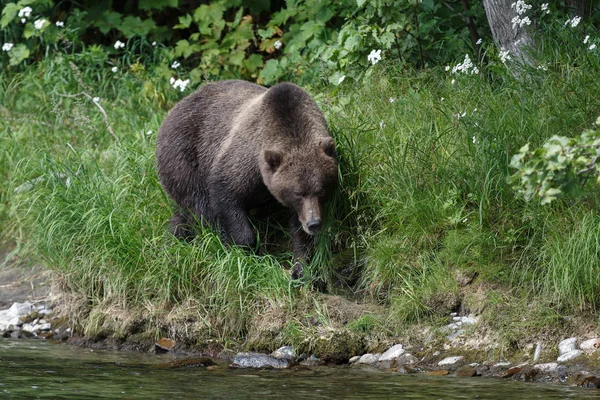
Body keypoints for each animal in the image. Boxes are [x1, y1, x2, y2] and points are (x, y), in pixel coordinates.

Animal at [156, 78, 338, 278]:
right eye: (298, 193)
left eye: (321, 190)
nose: (314, 223)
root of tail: (170, 113)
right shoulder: (244, 161)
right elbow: (226, 196)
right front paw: (247, 250)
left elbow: (299, 232)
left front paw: (300, 266)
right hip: (184, 158)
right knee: (200, 207)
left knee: (182, 214)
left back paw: (174, 240)